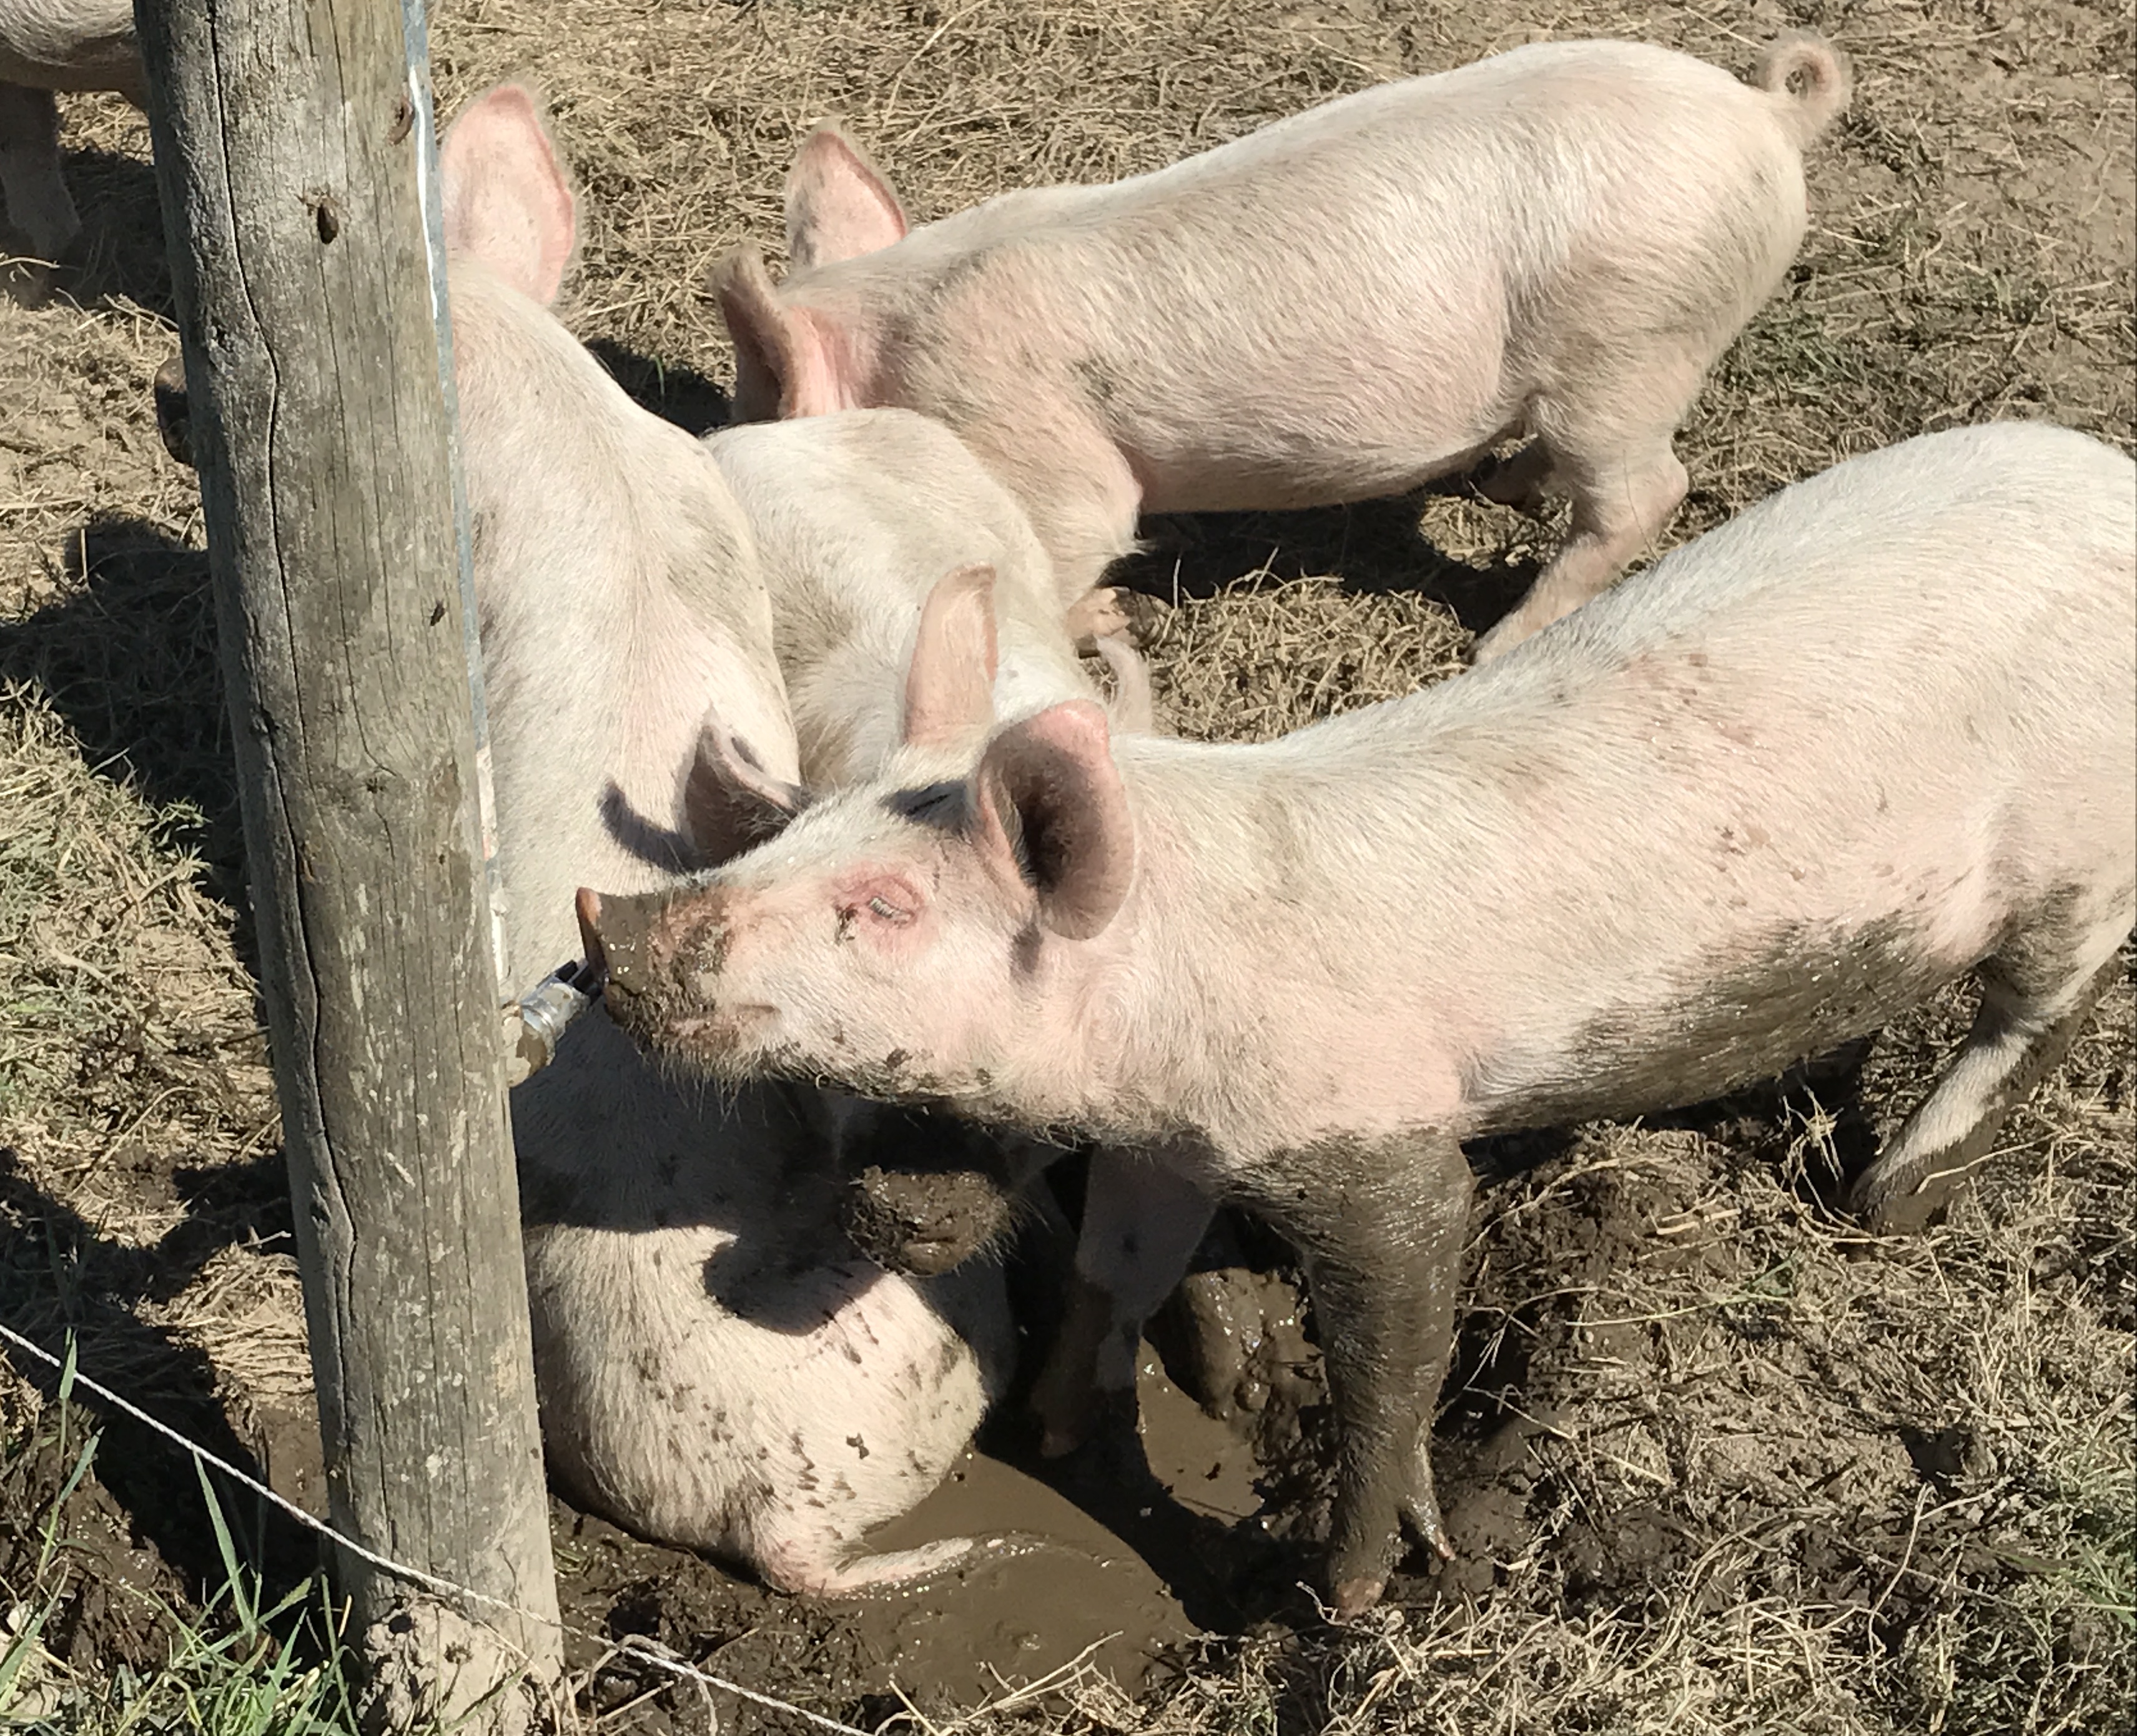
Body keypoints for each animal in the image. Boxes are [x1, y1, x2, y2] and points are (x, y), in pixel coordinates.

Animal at [581, 421, 2137, 1617]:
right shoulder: (1172, 1139)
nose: (607, 925)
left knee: (2037, 1008)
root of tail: (2108, 485)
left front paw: (1350, 1597)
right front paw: (1061, 1429)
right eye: (802, 829)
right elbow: (1116, 1265)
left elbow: (1397, 1344)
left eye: (887, 907)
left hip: (2080, 850)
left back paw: (1883, 1199)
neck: (1174, 988)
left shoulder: (1372, 1136)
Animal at [714, 33, 1850, 663]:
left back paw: (1492, 647)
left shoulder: (1041, 460)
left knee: (1644, 494)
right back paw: (1499, 489)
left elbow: (1071, 539)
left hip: (1630, 342)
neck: (898, 355)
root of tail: (1764, 111)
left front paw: (1114, 618)